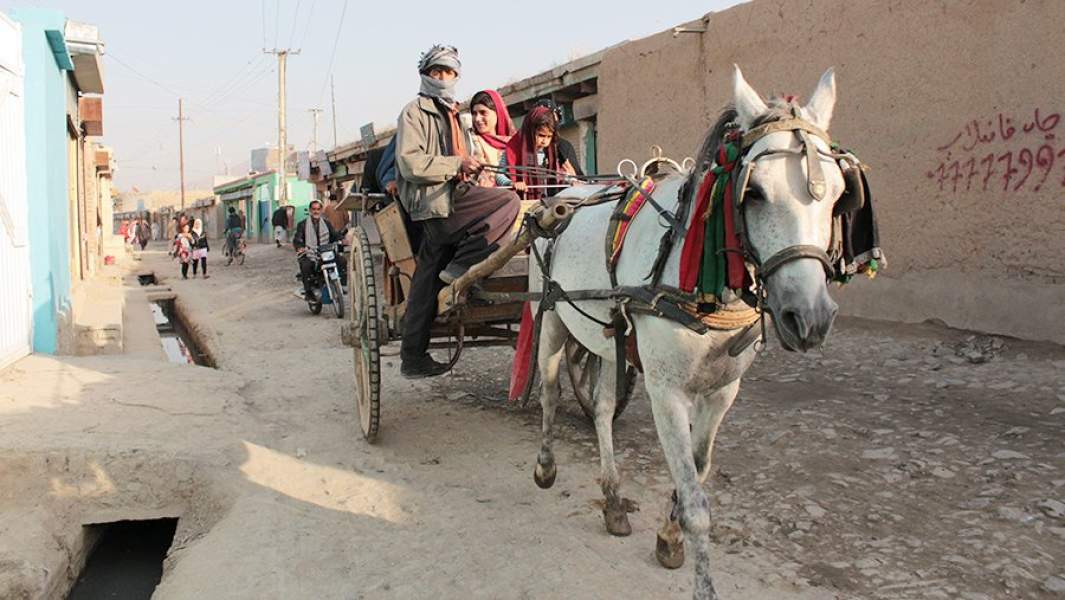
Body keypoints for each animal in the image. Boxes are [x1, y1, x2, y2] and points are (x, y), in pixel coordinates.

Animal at [529, 66, 849, 599]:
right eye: (754, 193)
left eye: (841, 193)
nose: (810, 318)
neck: (695, 278)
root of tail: (558, 199)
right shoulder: (667, 392)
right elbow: (698, 503)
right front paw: (696, 570)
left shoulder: (722, 391)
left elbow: (696, 472)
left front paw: (667, 535)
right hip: (549, 317)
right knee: (550, 394)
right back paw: (546, 466)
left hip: (609, 342)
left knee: (601, 408)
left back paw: (612, 499)